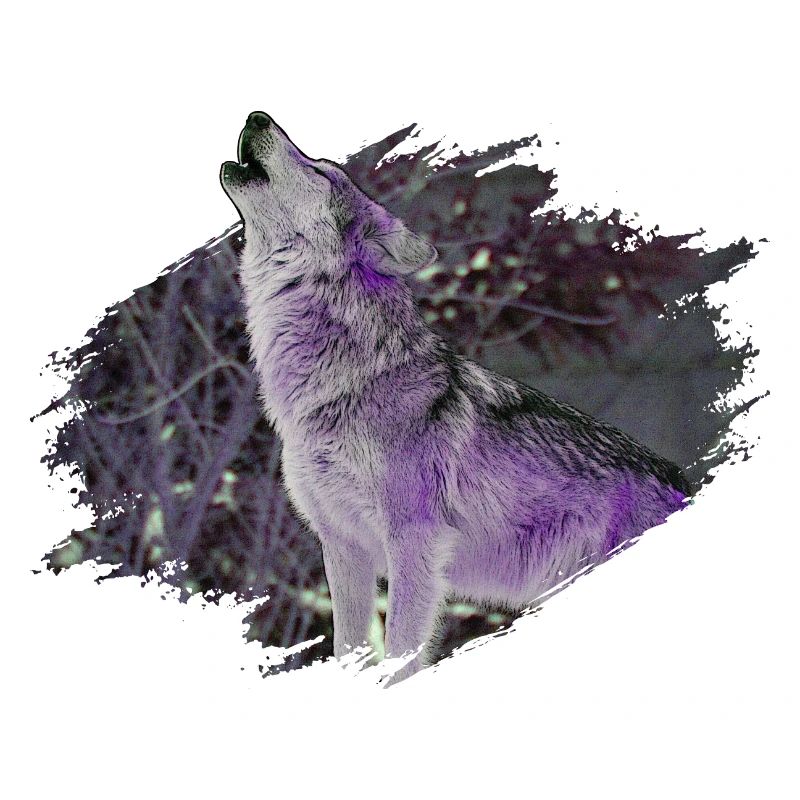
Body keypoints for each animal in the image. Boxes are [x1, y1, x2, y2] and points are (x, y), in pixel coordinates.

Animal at [220, 111, 691, 683]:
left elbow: (399, 661)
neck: (342, 384)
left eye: (321, 171)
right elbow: (347, 651)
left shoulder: (413, 545)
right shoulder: (344, 549)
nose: (257, 116)